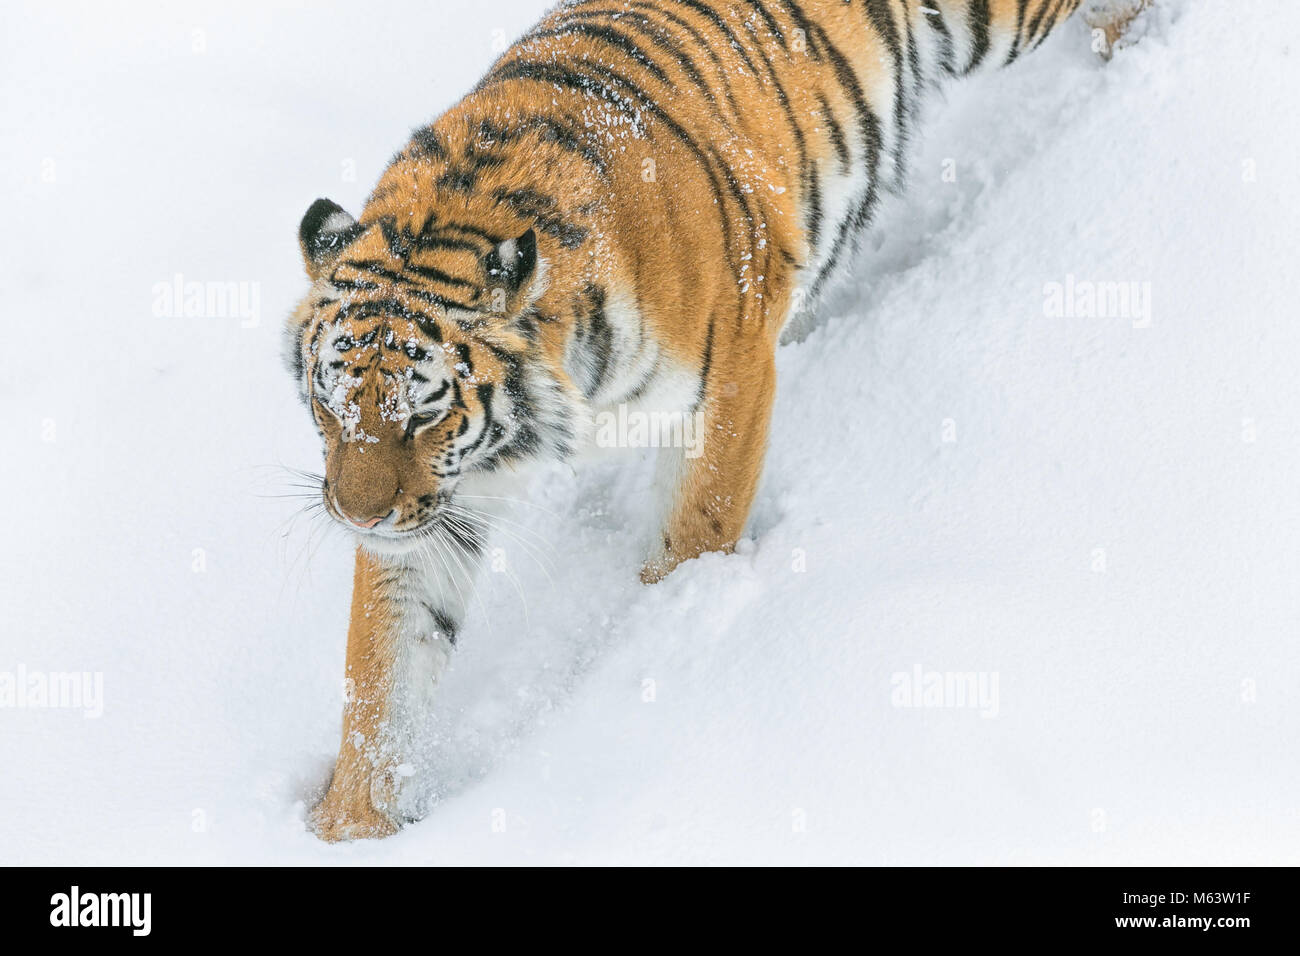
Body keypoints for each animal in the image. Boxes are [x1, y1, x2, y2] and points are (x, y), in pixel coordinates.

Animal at [287, 0, 1145, 841]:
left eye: (424, 414)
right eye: (330, 405)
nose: (355, 517)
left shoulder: (728, 375)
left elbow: (697, 528)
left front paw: (663, 628)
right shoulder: (445, 503)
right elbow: (385, 670)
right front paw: (351, 823)